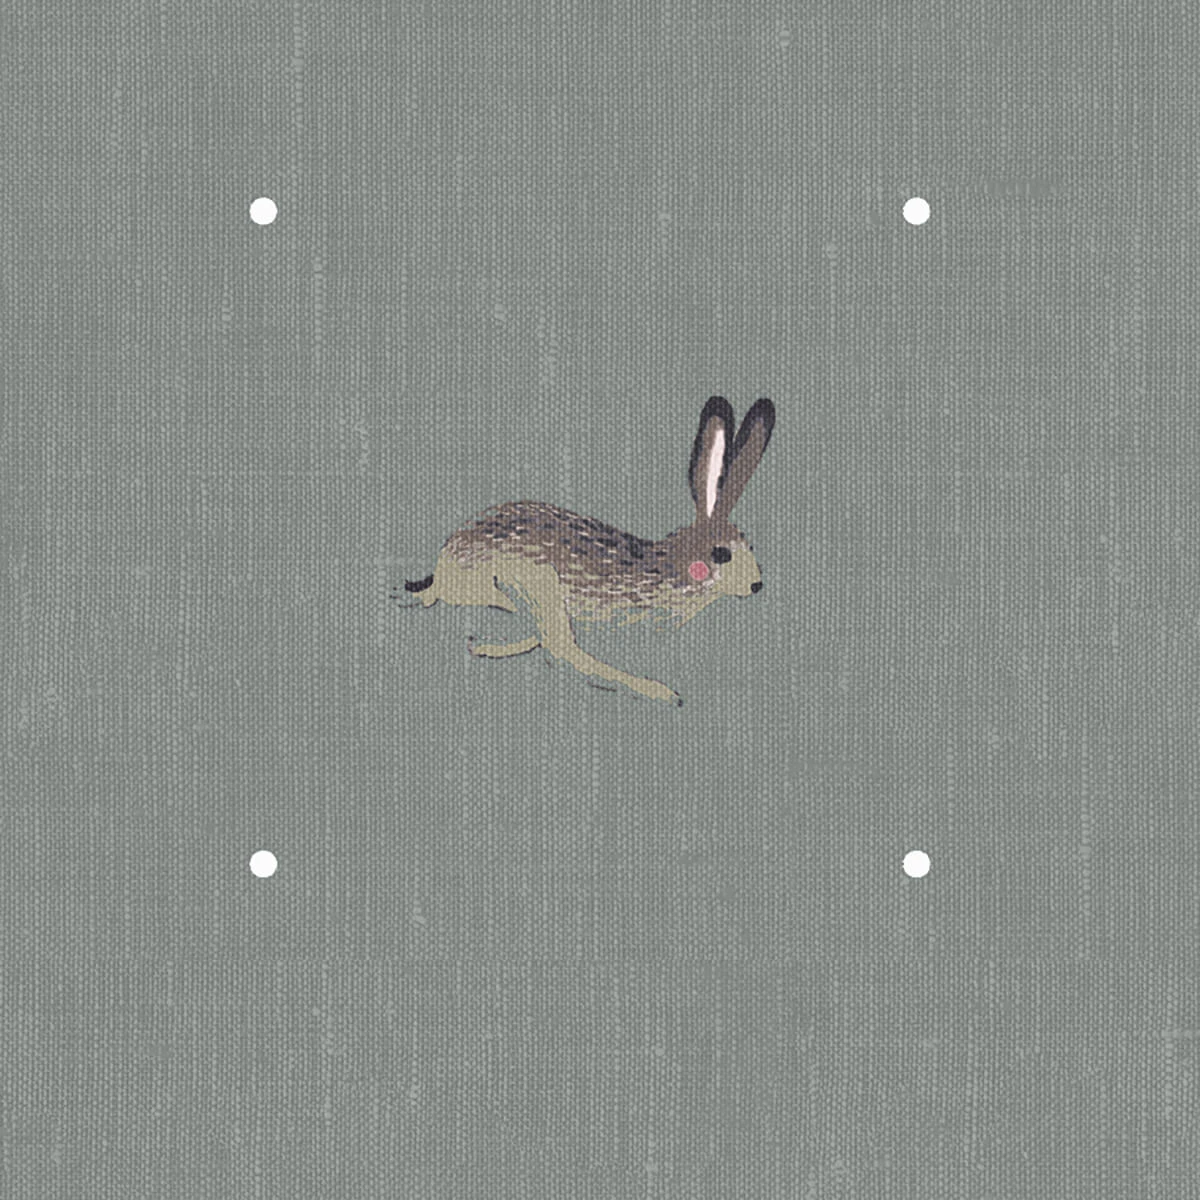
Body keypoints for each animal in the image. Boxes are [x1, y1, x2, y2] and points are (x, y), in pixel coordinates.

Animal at [393, 395, 775, 705]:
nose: (757, 585)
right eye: (722, 554)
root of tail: (443, 569)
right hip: (535, 582)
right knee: (563, 649)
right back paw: (657, 691)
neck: (670, 567)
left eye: (751, 547)